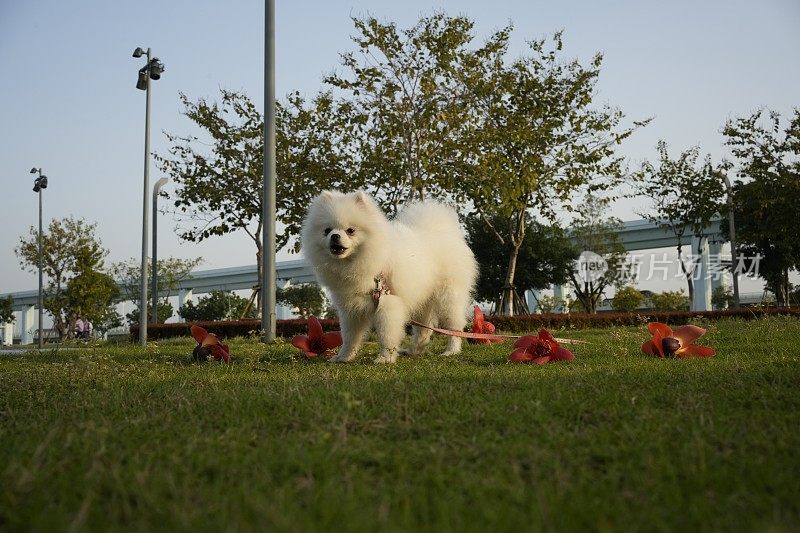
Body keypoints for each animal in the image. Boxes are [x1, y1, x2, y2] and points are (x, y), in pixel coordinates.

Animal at [298, 190, 476, 362]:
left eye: (350, 231)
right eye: (327, 230)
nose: (335, 236)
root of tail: (442, 230)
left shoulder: (387, 304)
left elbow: (386, 336)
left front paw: (385, 358)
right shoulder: (351, 309)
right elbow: (349, 337)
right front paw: (344, 357)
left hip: (449, 298)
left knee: (455, 328)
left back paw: (451, 351)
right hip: (423, 300)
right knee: (423, 331)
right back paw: (412, 351)